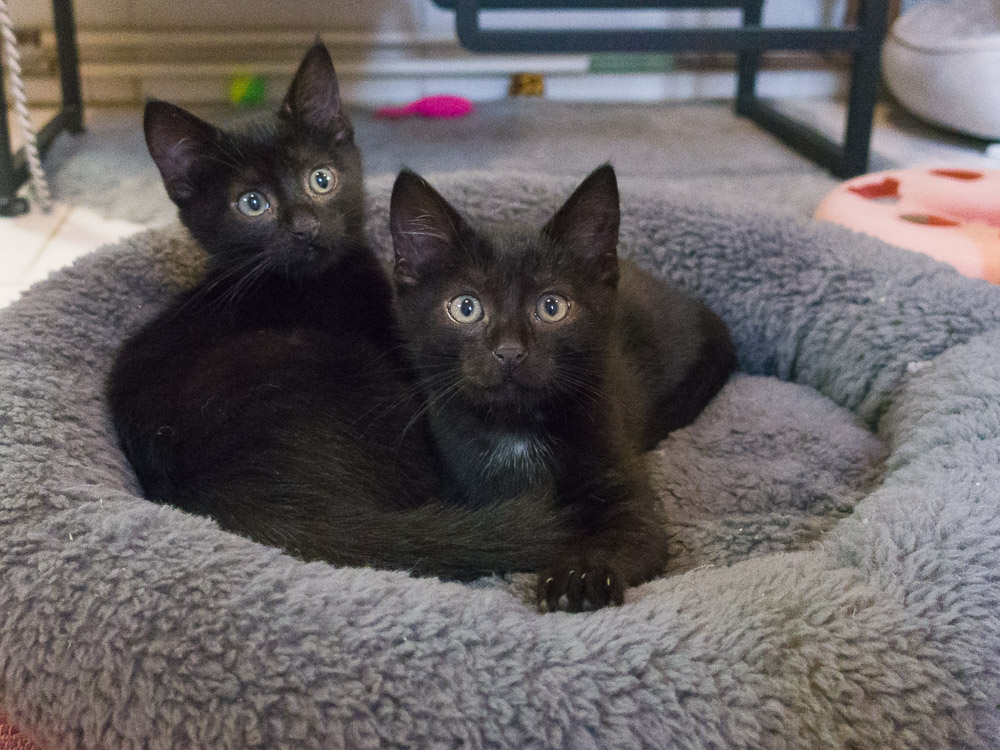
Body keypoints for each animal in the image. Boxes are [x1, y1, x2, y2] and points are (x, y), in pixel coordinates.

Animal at [390, 164, 736, 612]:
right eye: (465, 307)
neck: (516, 430)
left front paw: (580, 576)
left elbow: (630, 534)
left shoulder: (627, 489)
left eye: (551, 307)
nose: (510, 351)